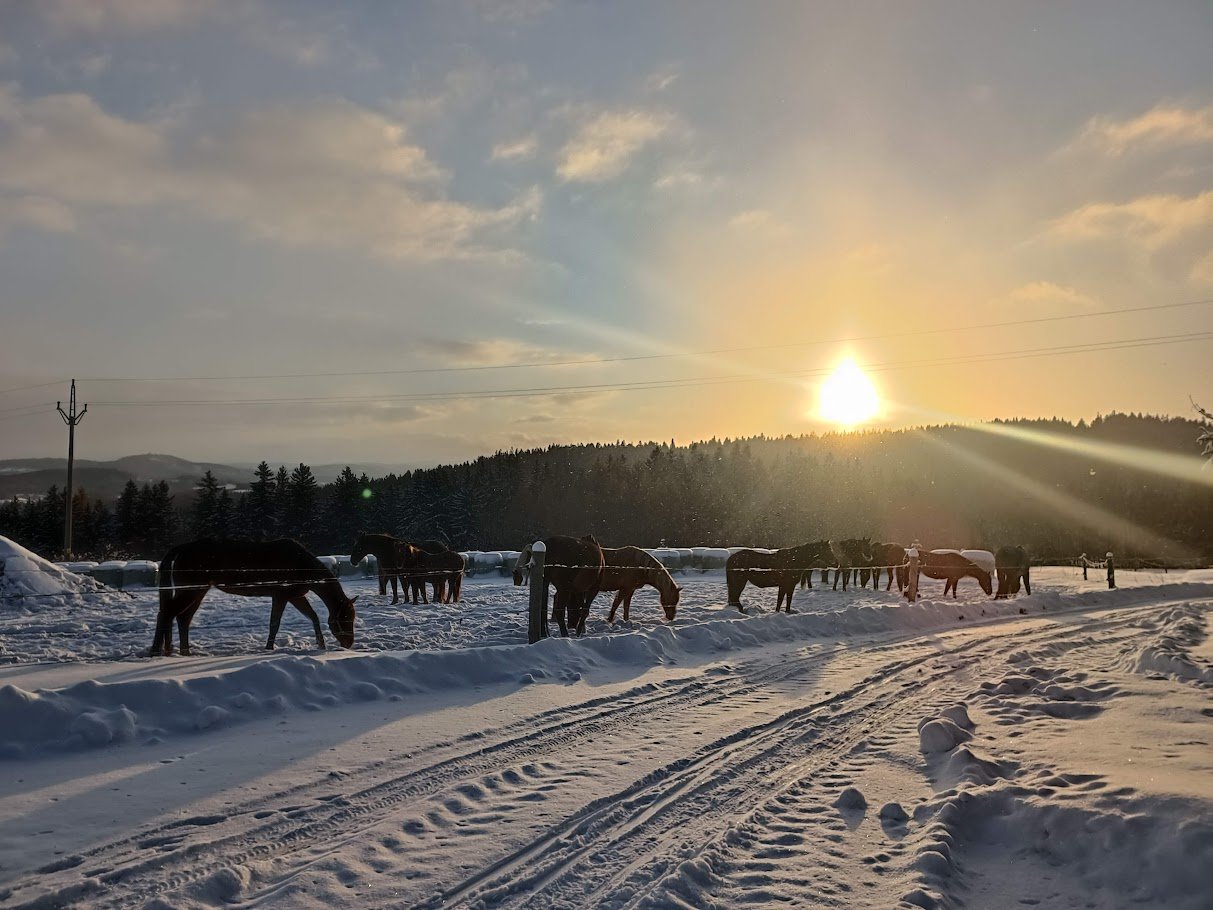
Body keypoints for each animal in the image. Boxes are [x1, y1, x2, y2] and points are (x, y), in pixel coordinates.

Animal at [150, 538, 354, 660]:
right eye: (344, 618)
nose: (349, 643)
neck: (301, 564)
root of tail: (178, 550)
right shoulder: (281, 596)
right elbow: (274, 623)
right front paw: (268, 648)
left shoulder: (296, 597)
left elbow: (313, 617)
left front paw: (321, 644)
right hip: (192, 591)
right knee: (166, 614)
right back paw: (157, 652)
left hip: (198, 591)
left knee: (182, 619)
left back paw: (184, 652)